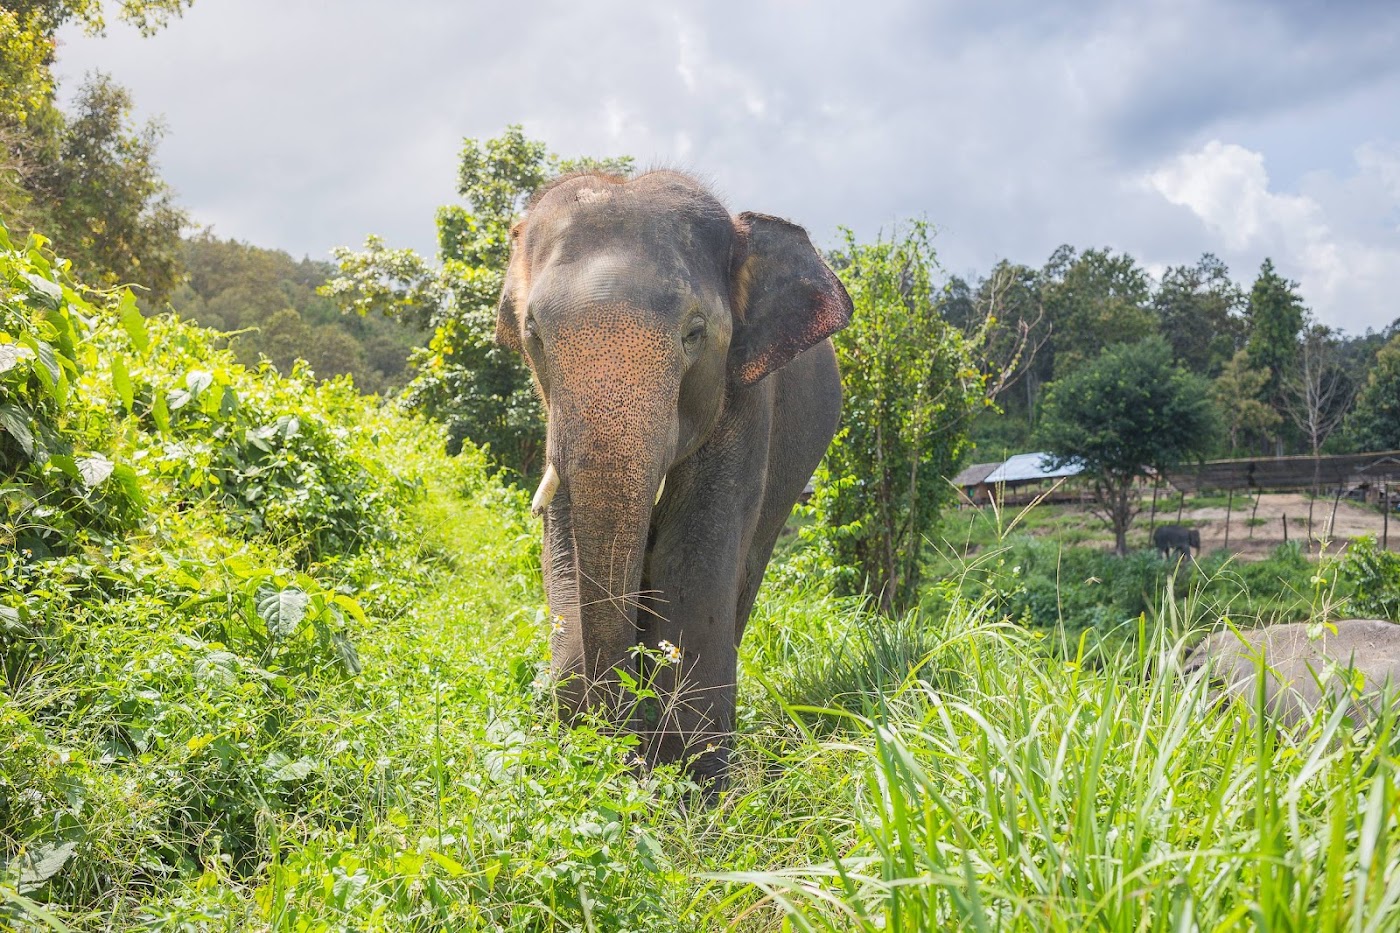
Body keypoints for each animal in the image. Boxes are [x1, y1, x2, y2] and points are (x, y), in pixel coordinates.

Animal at [494, 170, 853, 789]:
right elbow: (565, 556)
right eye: (533, 332)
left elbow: (692, 565)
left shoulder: (745, 405)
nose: (621, 753)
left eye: (694, 334)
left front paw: (692, 787)